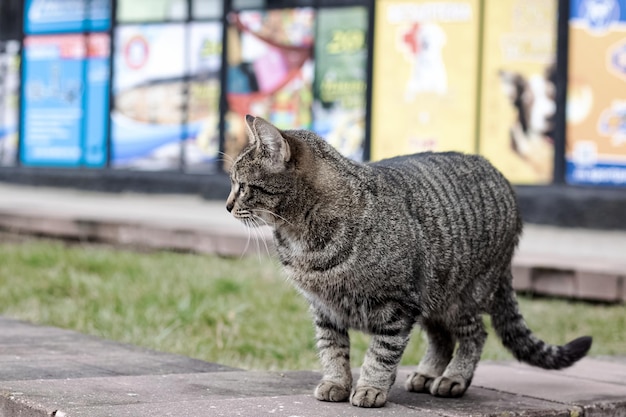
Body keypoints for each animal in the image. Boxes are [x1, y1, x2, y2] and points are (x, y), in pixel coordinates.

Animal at [224, 115, 588, 408]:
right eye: (232, 185)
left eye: (242, 186)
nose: (227, 206)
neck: (303, 239)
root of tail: (502, 177)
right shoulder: (325, 309)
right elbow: (333, 349)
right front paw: (336, 383)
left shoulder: (397, 306)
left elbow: (381, 354)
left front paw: (370, 389)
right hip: (434, 298)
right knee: (442, 339)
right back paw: (426, 374)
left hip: (462, 296)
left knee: (475, 335)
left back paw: (453, 378)